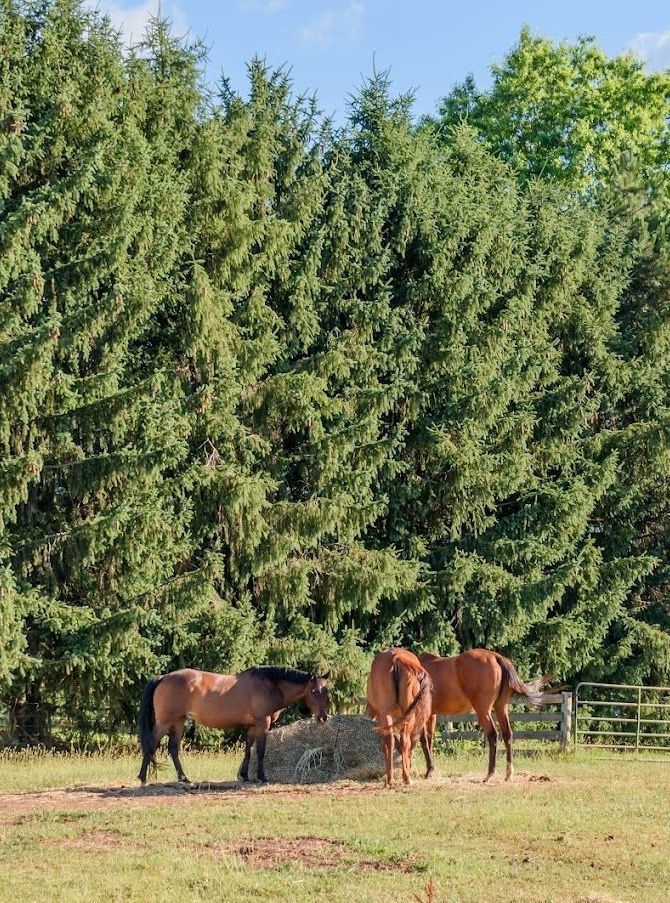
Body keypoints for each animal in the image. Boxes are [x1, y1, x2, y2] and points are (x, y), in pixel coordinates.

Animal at [137, 666, 330, 785]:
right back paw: (143, 777)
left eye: (326, 690)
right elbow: (260, 751)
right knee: (151, 745)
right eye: (314, 691)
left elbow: (248, 749)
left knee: (173, 748)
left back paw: (184, 778)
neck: (269, 685)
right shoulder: (263, 723)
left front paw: (244, 776)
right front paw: (262, 777)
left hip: (178, 721)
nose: (323, 717)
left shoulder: (252, 726)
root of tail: (163, 677)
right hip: (165, 722)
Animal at [366, 648, 433, 788]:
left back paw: (393, 779)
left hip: (388, 714)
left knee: (393, 741)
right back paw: (402, 778)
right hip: (402, 716)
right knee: (403, 741)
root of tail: (397, 659)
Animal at [418, 649, 545, 782]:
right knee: (507, 735)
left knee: (493, 735)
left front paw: (428, 771)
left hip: (483, 710)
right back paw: (508, 774)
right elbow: (429, 740)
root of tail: (495, 657)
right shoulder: (431, 716)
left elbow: (424, 741)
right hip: (501, 707)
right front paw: (430, 770)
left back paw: (490, 774)